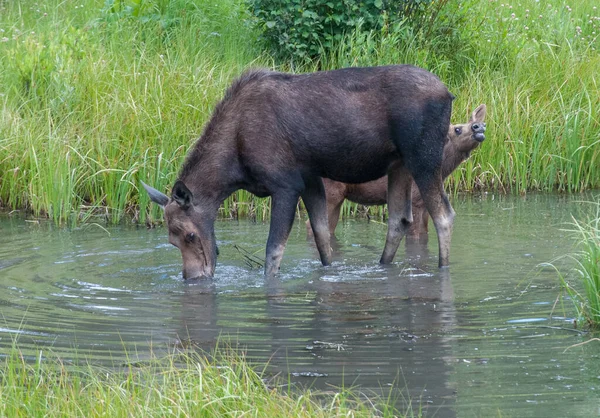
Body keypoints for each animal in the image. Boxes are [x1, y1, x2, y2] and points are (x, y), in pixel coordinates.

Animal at [144, 65, 454, 280]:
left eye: (190, 235)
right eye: (171, 239)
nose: (193, 277)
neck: (234, 169)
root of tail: (449, 93)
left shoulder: (285, 185)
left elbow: (274, 250)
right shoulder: (310, 179)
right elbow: (322, 236)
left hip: (423, 157)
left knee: (443, 215)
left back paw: (443, 268)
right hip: (399, 164)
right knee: (399, 219)